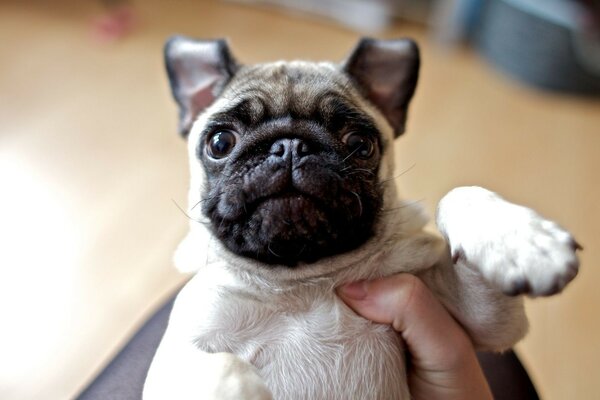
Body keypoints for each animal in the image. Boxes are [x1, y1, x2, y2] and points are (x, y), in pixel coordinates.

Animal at [143, 37, 580, 400]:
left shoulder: (479, 322)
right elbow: (226, 368)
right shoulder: (177, 357)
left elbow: (459, 194)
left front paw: (523, 242)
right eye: (220, 143)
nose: (289, 146)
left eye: (360, 144)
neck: (302, 281)